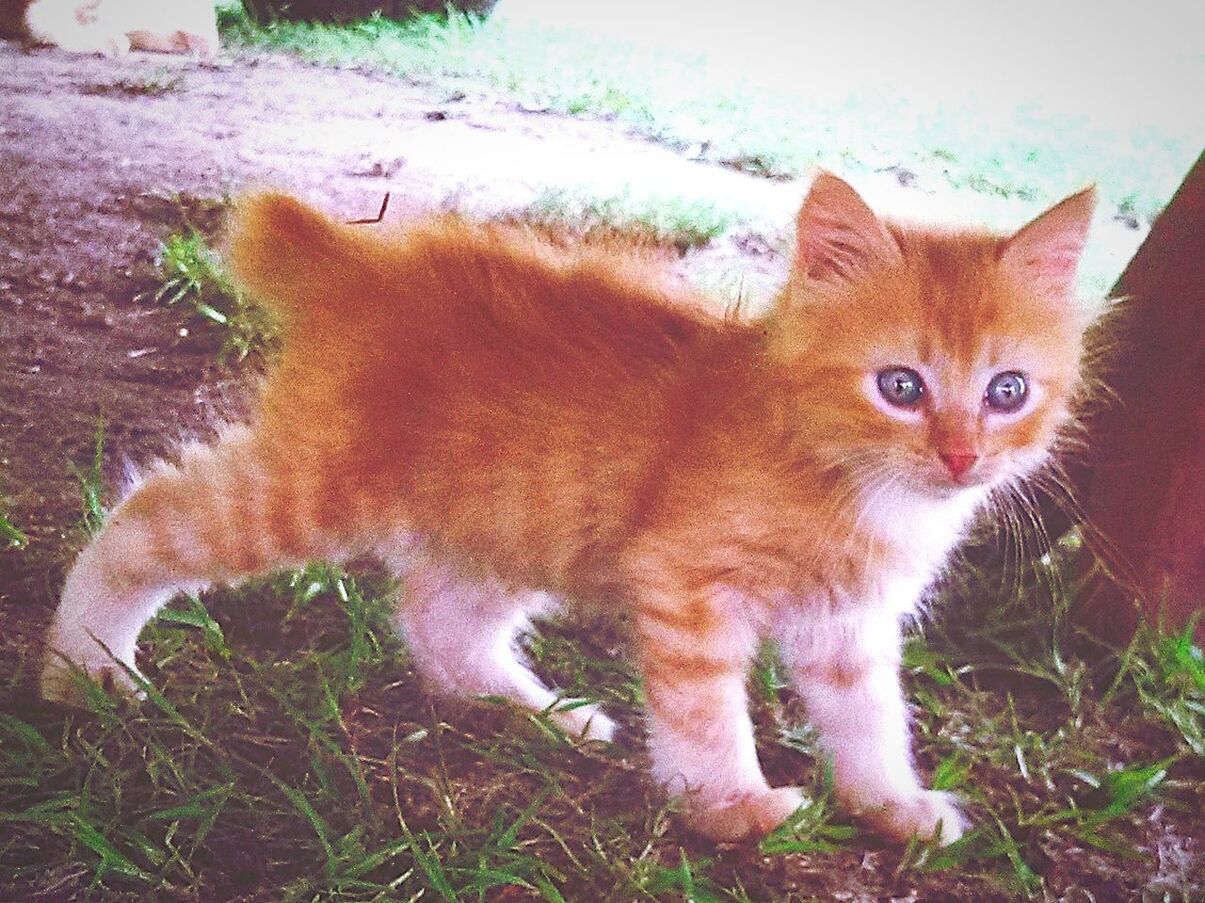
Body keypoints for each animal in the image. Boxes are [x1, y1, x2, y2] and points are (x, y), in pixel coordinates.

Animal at [42, 174, 1098, 839]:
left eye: (1006, 390)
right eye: (900, 386)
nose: (960, 454)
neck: (841, 469)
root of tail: (368, 263)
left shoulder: (848, 624)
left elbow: (873, 720)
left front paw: (891, 805)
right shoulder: (685, 584)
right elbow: (706, 711)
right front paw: (728, 807)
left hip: (519, 519)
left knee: (439, 620)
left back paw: (533, 712)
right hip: (315, 488)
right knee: (146, 515)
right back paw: (82, 665)